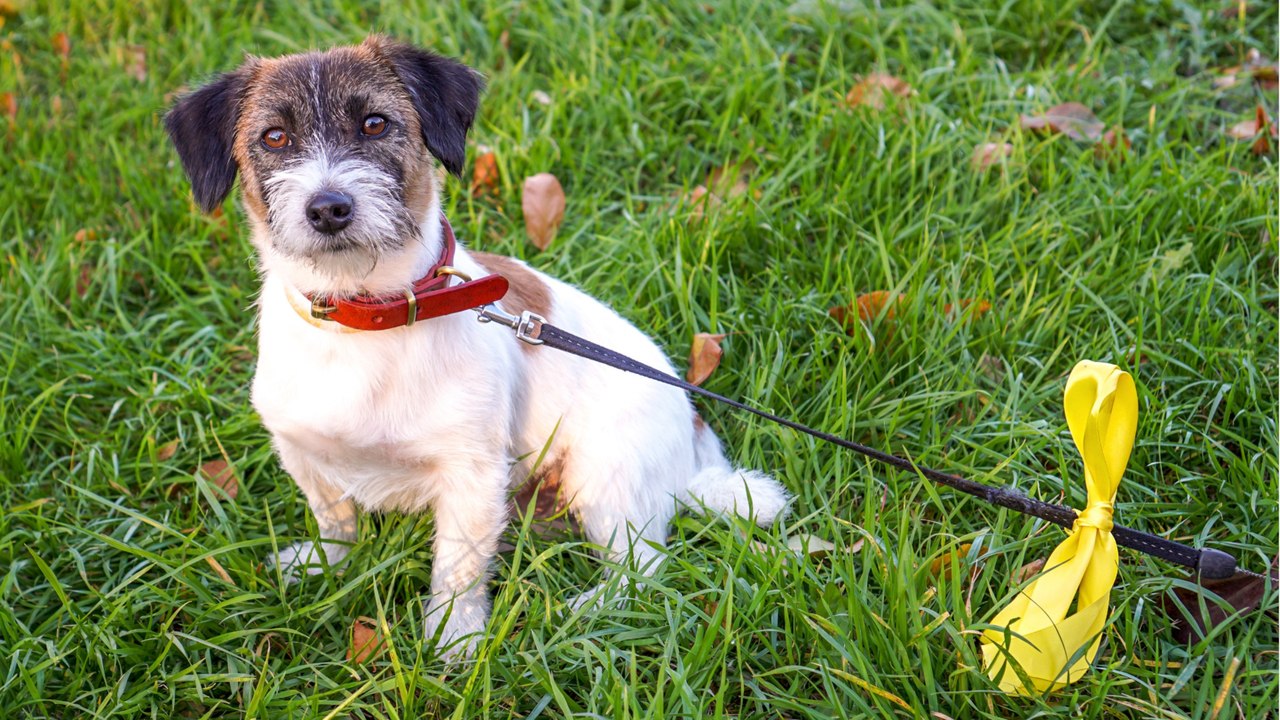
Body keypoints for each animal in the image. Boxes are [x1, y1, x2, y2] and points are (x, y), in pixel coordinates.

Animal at [167, 37, 788, 655]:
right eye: (275, 138)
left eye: (375, 124)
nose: (328, 208)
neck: (365, 318)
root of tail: (695, 444)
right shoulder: (302, 449)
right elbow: (336, 519)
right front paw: (325, 566)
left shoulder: (471, 473)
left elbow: (458, 565)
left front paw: (453, 641)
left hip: (605, 476)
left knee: (643, 566)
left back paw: (587, 611)